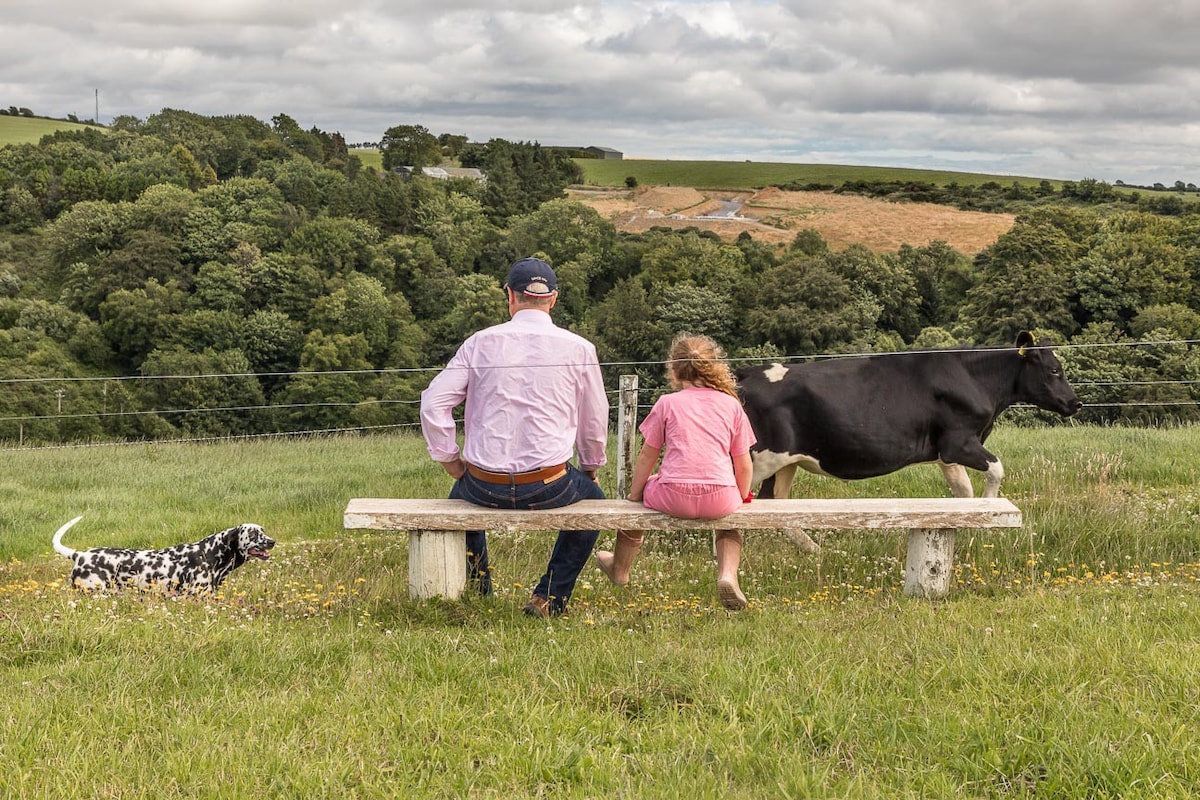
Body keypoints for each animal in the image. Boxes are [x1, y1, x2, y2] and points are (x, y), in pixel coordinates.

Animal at [734, 331, 1084, 544]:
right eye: (1054, 370)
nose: (1076, 402)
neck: (974, 378)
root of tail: (747, 372)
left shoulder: (946, 453)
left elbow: (963, 493)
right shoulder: (959, 443)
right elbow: (997, 469)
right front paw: (988, 515)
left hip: (786, 460)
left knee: (775, 502)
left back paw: (813, 550)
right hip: (760, 458)